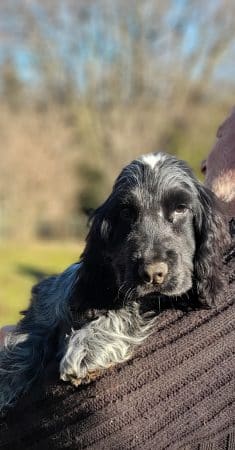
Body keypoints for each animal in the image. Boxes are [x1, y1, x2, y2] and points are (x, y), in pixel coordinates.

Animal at [0, 152, 230, 412]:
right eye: (126, 213)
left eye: (181, 209)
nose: (153, 273)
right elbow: (35, 328)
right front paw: (7, 381)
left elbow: (133, 305)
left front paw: (87, 347)